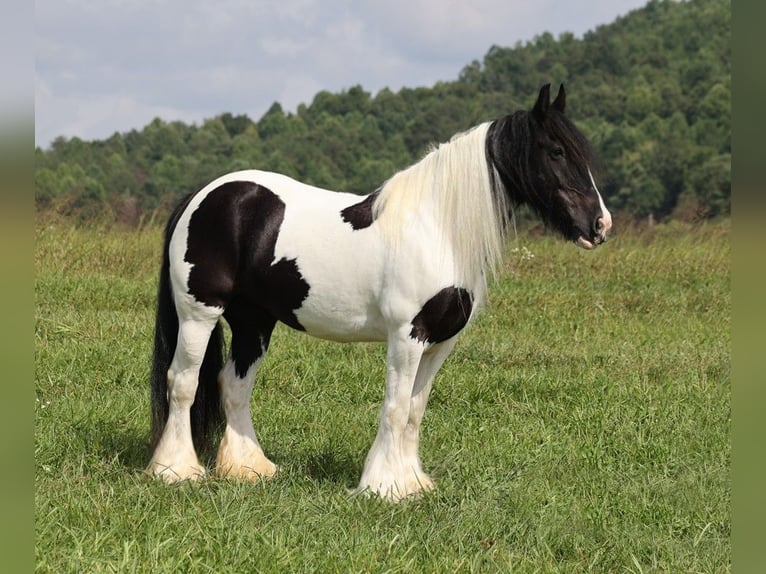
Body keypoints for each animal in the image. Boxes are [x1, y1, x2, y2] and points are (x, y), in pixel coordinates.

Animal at [147, 83, 616, 502]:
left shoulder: (440, 342)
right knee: (183, 382)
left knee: (234, 384)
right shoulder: (408, 336)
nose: (600, 225)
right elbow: (394, 406)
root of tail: (204, 194)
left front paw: (412, 484)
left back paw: (249, 469)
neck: (438, 229)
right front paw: (383, 487)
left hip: (254, 321)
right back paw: (176, 471)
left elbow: (414, 411)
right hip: (200, 313)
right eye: (556, 152)